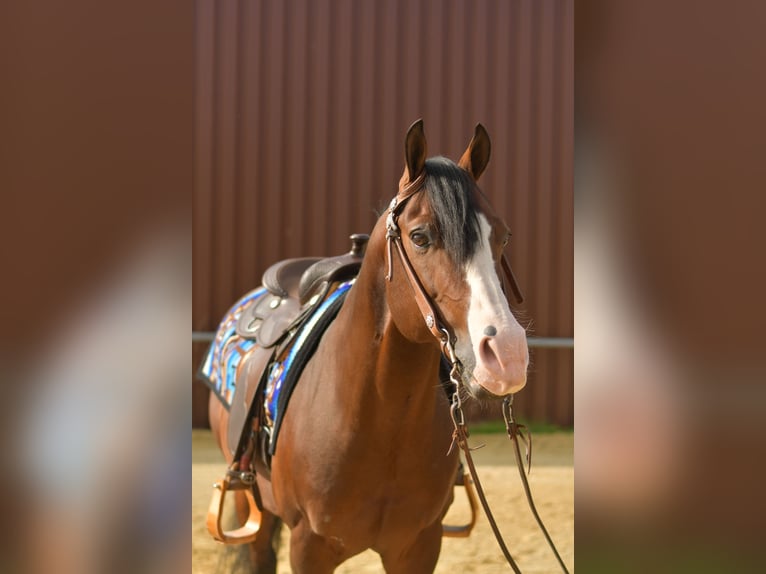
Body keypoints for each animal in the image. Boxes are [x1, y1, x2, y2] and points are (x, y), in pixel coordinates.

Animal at [207, 120, 529, 573]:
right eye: (420, 237)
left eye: (503, 236)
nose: (507, 356)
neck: (378, 418)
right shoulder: (309, 547)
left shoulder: (418, 546)